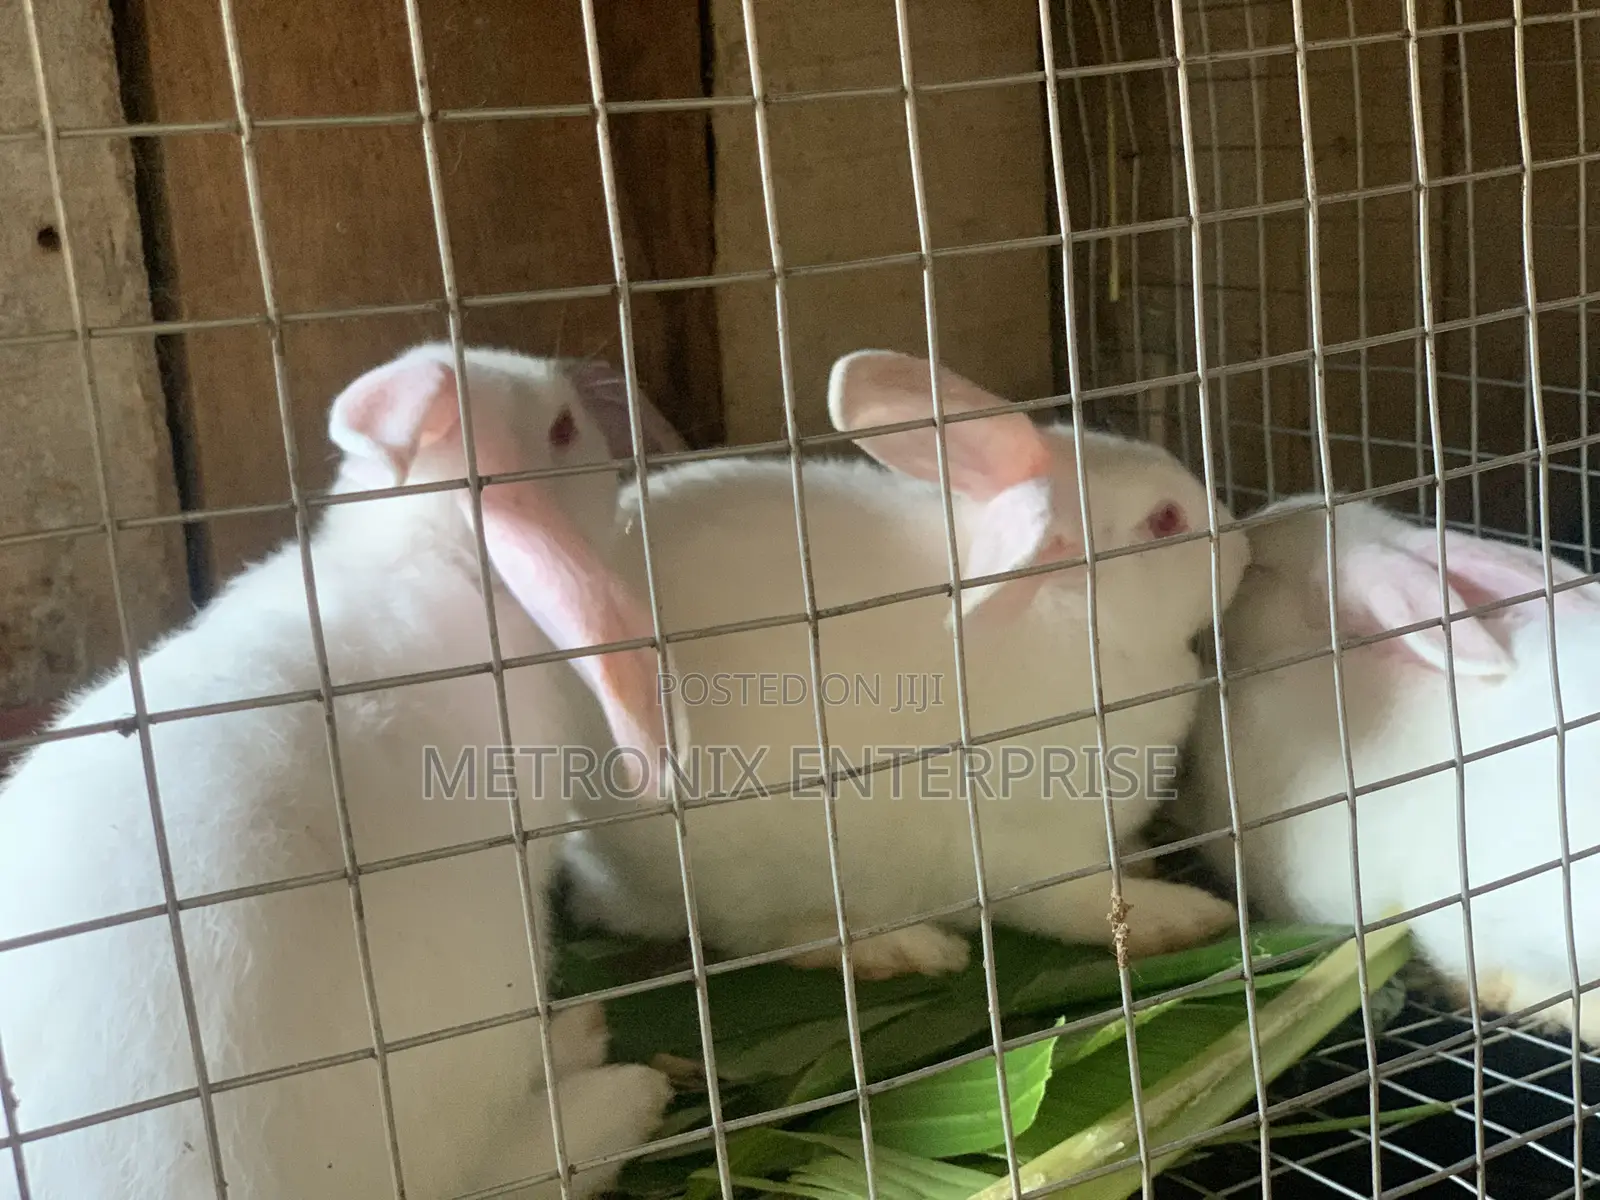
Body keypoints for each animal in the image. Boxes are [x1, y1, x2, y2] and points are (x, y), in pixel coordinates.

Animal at [478, 349, 1250, 982]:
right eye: (1166, 521)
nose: (1241, 545)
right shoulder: (1033, 847)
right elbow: (1091, 903)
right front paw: (1186, 915)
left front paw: (1147, 856)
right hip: (749, 875)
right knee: (767, 937)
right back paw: (903, 949)